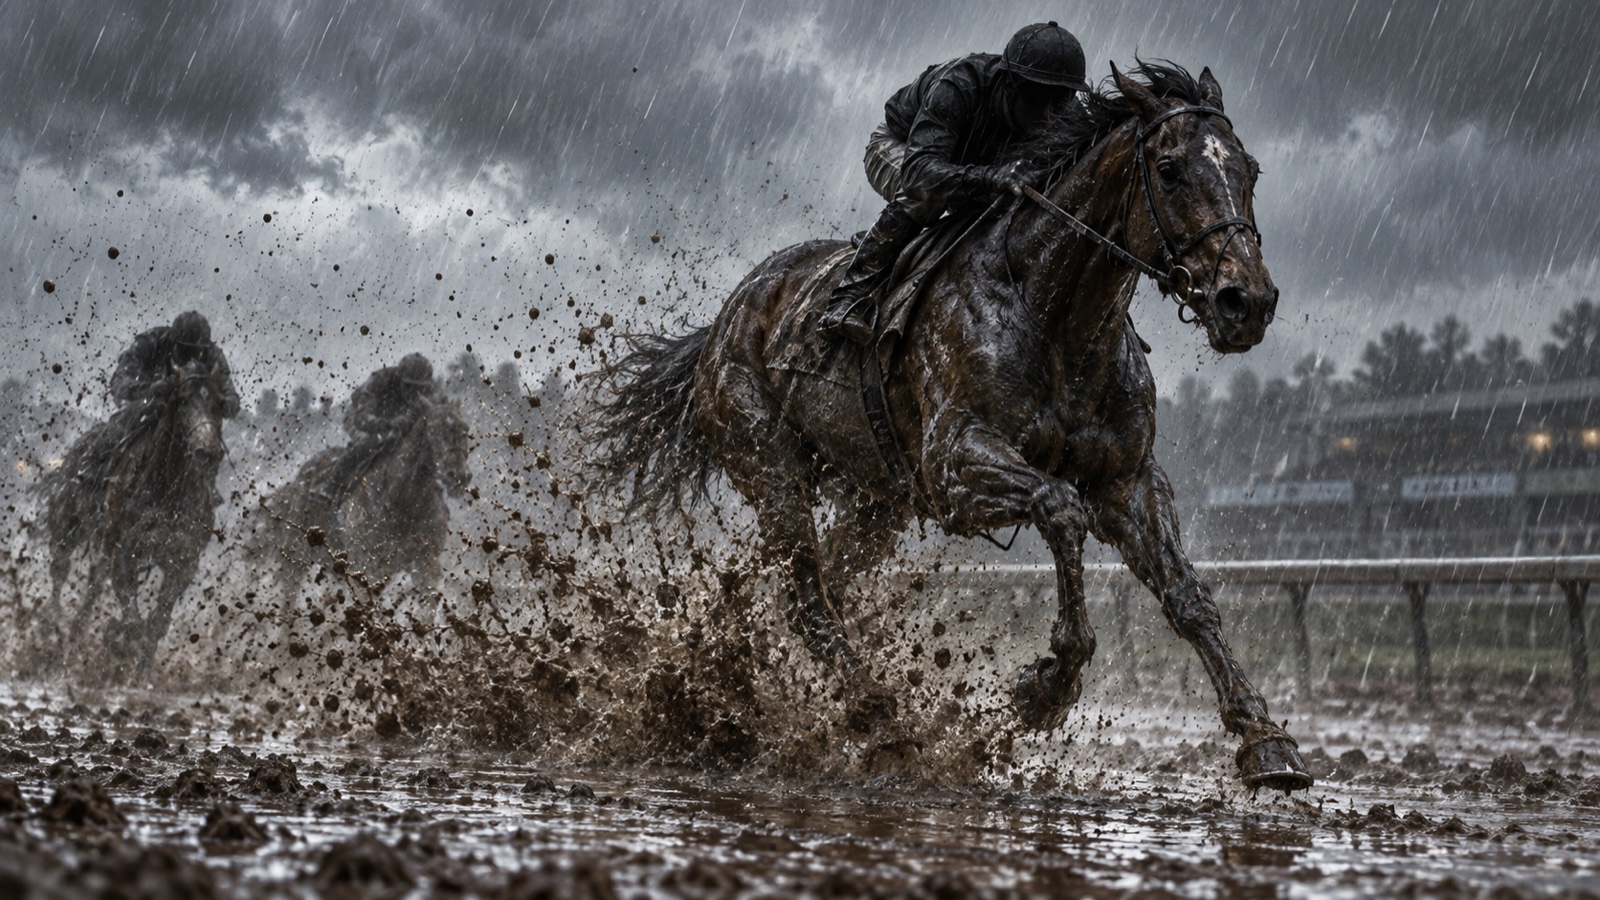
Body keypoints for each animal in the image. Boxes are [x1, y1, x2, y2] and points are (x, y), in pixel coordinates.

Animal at [36, 359, 229, 679]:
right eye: (183, 399)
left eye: (219, 403)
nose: (207, 453)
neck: (167, 491)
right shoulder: (126, 554)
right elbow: (132, 622)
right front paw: (115, 644)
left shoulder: (182, 562)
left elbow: (155, 624)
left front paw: (140, 677)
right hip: (69, 527)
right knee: (60, 570)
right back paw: (48, 628)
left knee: (93, 586)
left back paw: (75, 634)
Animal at [254, 396, 471, 594]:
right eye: (433, 431)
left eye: (465, 430)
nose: (459, 476)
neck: (402, 503)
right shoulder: (368, 566)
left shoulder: (425, 562)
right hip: (295, 557)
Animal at [595, 62, 1310, 792]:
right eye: (1168, 169)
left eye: (1249, 170)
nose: (1246, 302)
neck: (1056, 314)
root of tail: (721, 324)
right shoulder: (954, 465)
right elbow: (1060, 507)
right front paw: (1044, 687)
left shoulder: (1128, 481)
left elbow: (1187, 595)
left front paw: (1266, 740)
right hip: (768, 461)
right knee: (807, 598)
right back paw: (877, 717)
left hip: (876, 503)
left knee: (799, 588)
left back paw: (712, 682)